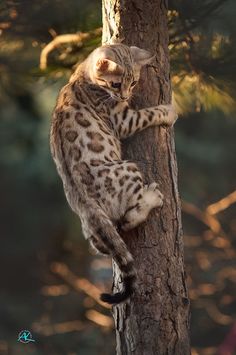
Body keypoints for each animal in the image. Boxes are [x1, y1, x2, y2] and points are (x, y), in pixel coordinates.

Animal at [49, 43, 177, 306]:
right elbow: (149, 113)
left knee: (104, 242)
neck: (83, 74)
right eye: (116, 84)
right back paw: (152, 197)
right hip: (130, 168)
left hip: (91, 230)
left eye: (134, 82)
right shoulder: (123, 119)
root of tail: (85, 205)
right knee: (128, 219)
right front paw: (169, 111)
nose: (126, 97)